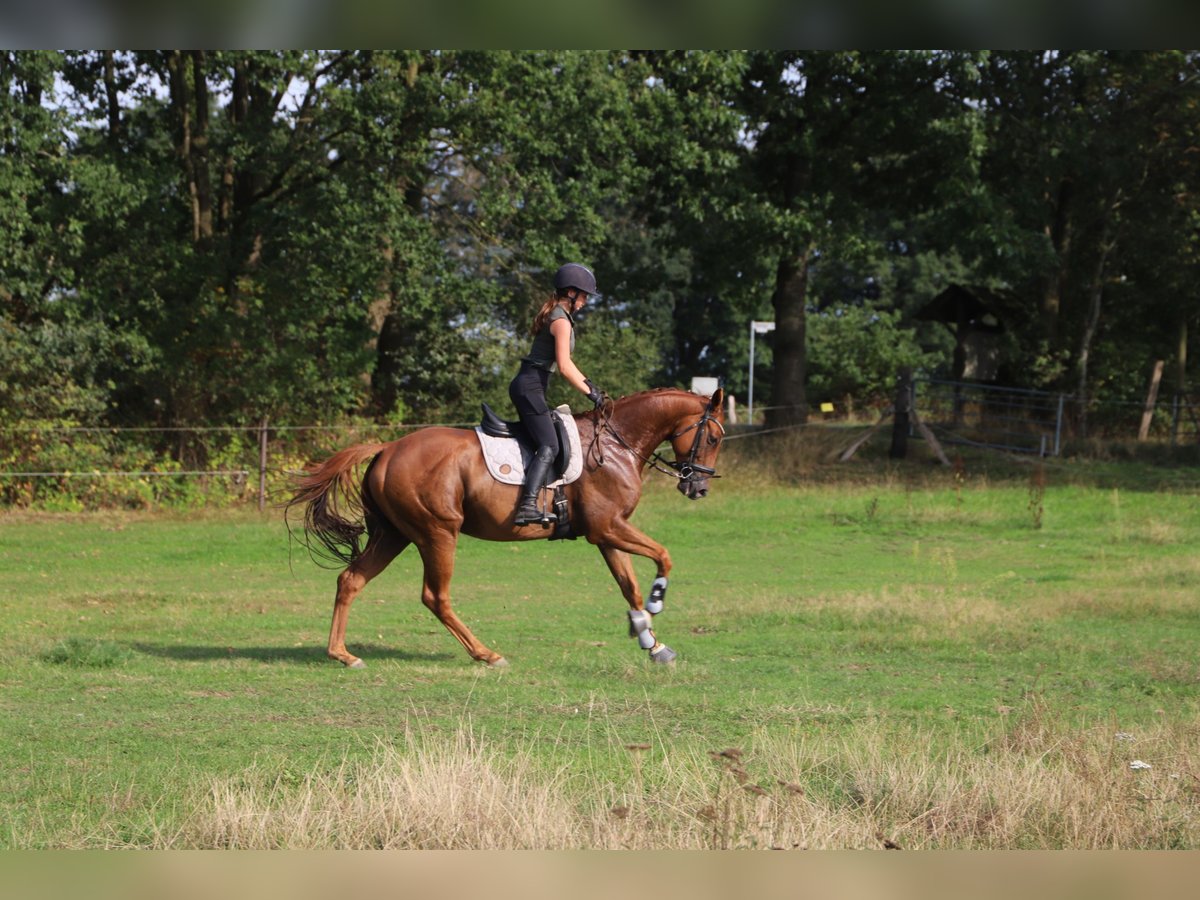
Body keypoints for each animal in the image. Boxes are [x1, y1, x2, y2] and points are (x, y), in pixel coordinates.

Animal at [284, 387, 726, 668]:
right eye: (714, 438)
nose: (699, 488)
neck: (618, 444)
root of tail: (387, 449)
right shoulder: (608, 529)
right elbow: (663, 557)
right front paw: (656, 603)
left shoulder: (607, 533)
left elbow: (628, 585)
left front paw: (651, 641)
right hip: (437, 533)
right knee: (435, 596)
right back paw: (487, 655)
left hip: (393, 535)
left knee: (351, 580)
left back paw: (342, 654)